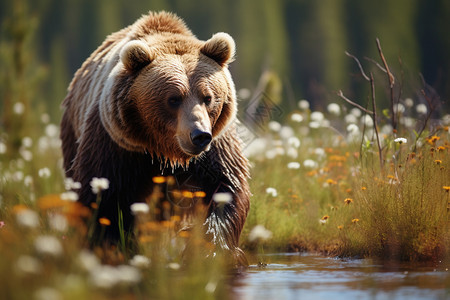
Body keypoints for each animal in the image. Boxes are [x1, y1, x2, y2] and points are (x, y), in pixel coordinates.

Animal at [59, 11, 250, 264]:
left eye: (208, 97)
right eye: (173, 99)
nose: (199, 136)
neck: (165, 151)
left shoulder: (216, 145)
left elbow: (226, 187)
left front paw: (209, 249)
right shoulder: (116, 145)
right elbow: (103, 196)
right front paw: (113, 246)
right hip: (73, 133)